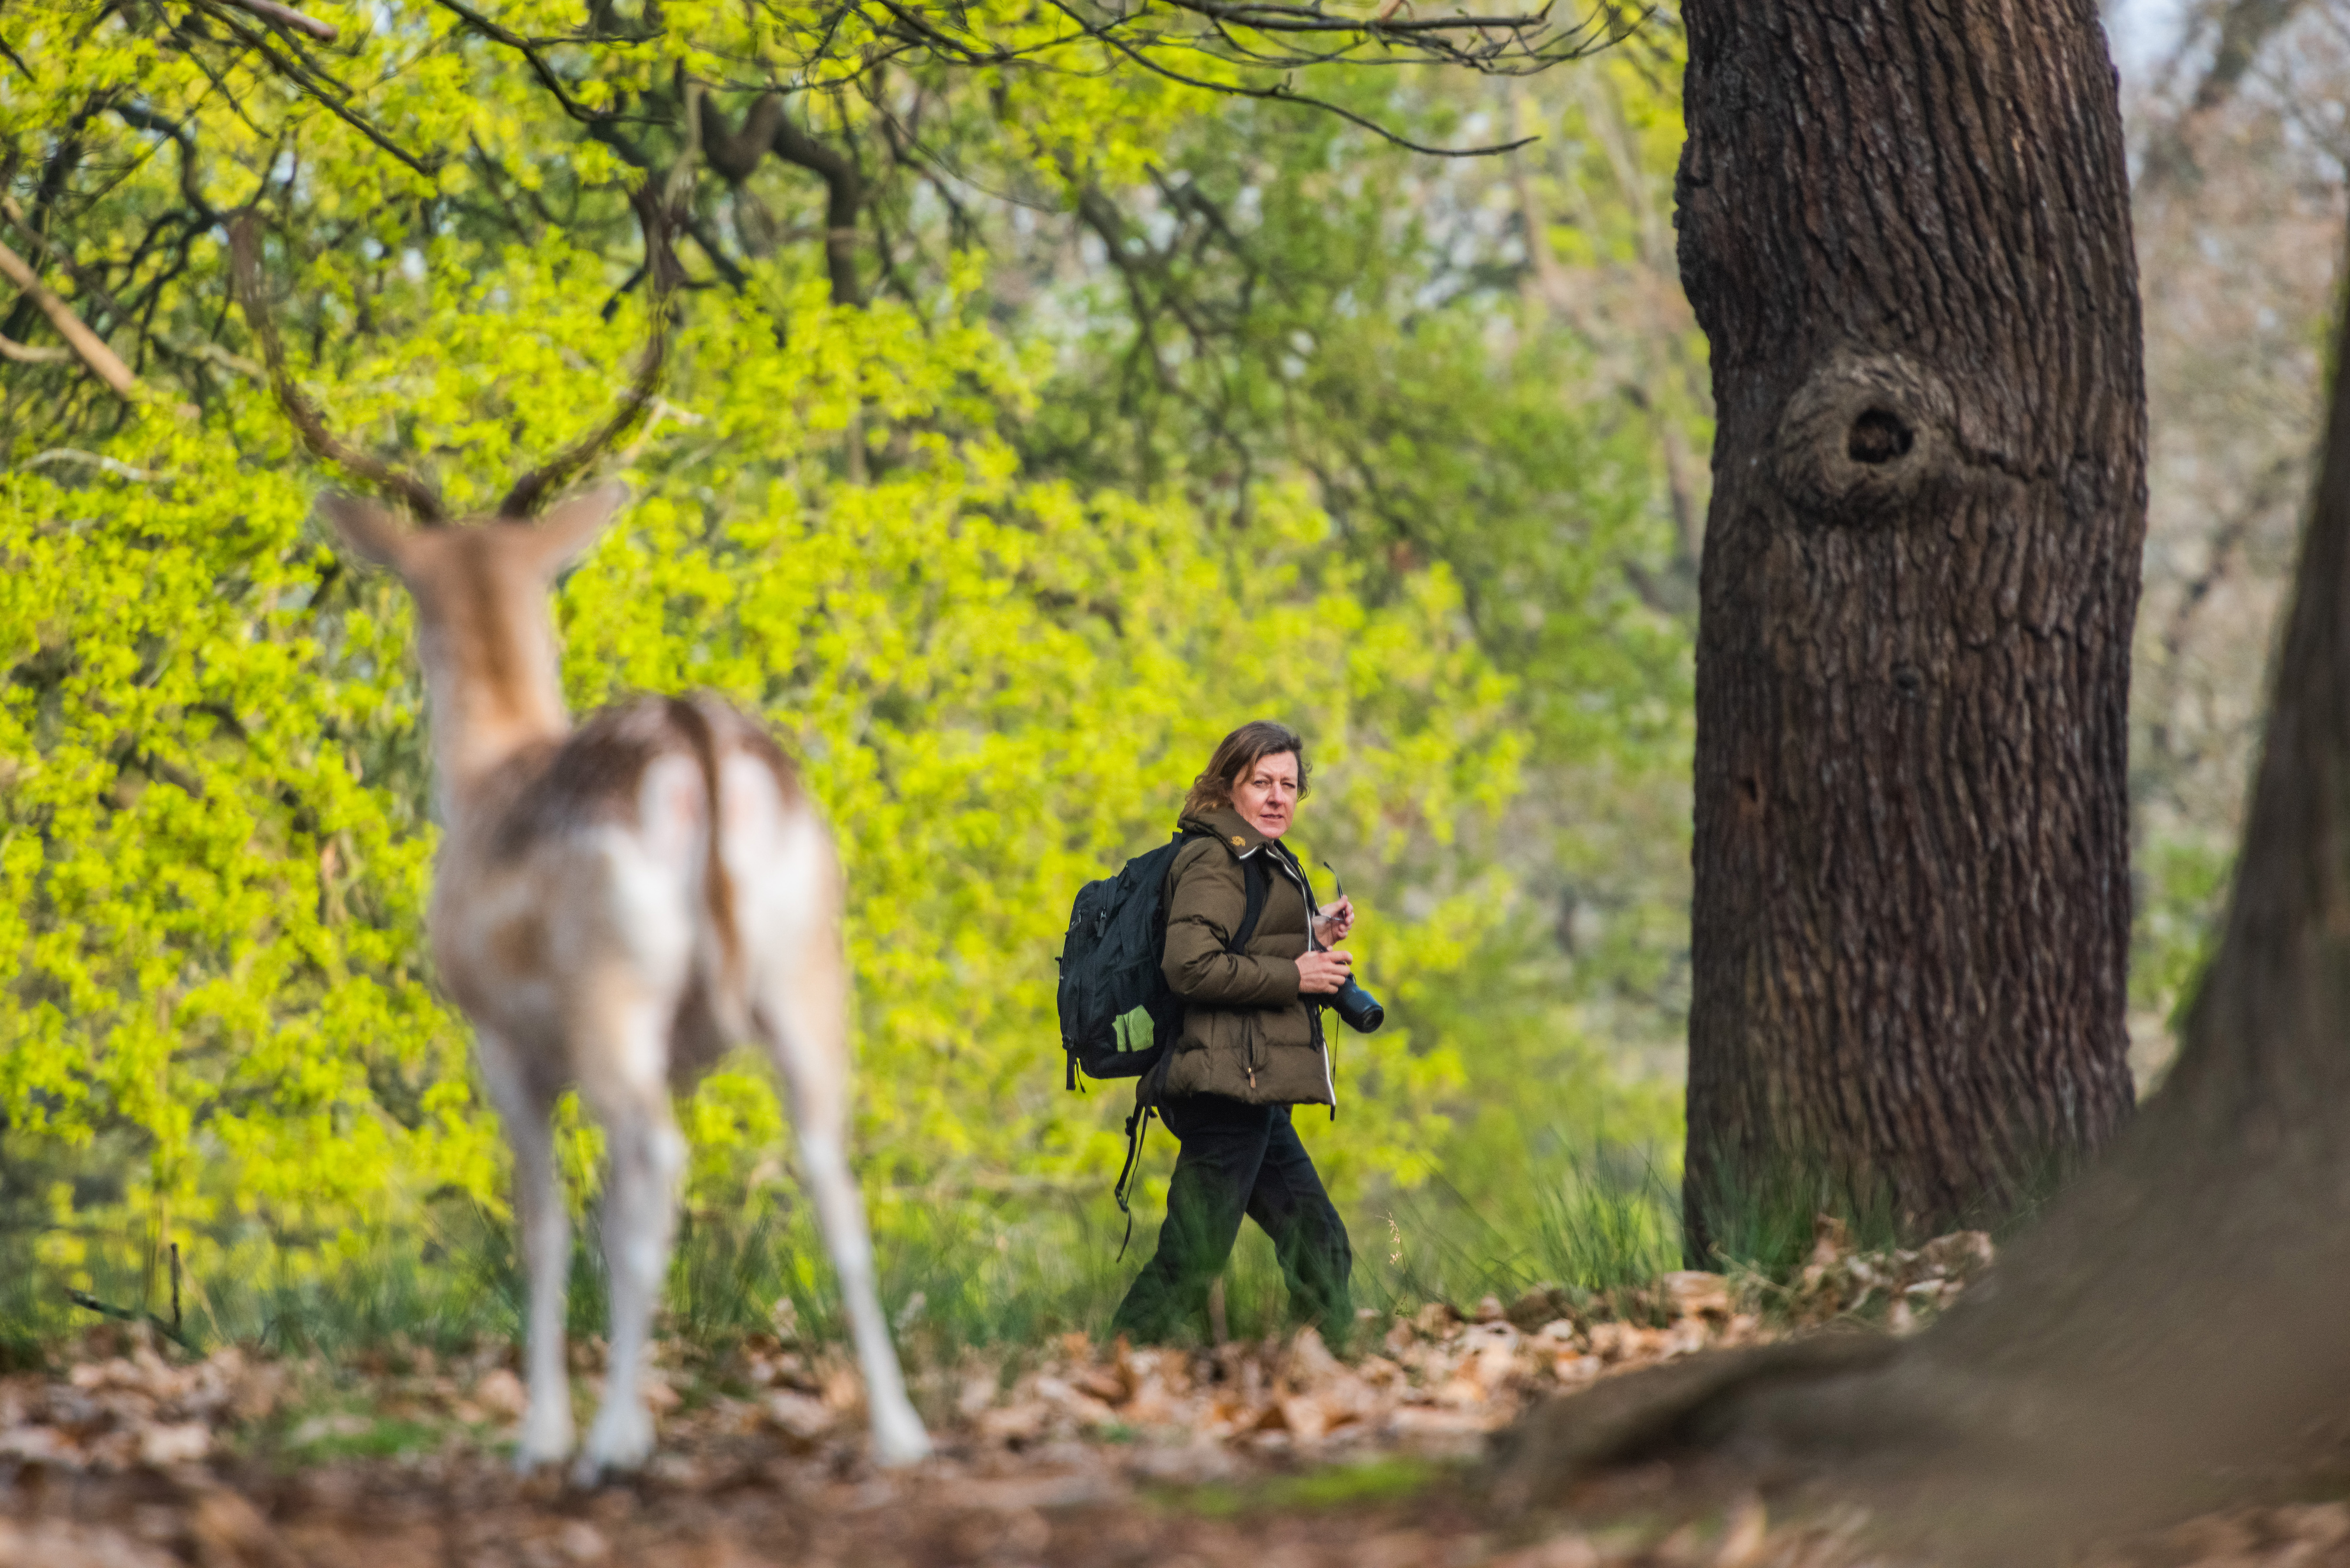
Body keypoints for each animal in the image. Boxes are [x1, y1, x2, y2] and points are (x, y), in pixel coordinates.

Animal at [229, 215, 926, 1476]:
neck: (489, 775)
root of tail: (699, 742)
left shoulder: (504, 1044)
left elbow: (550, 1221)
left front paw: (541, 1430)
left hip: (613, 999)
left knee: (658, 1165)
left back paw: (605, 1445)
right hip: (805, 980)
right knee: (830, 1171)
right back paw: (897, 1434)